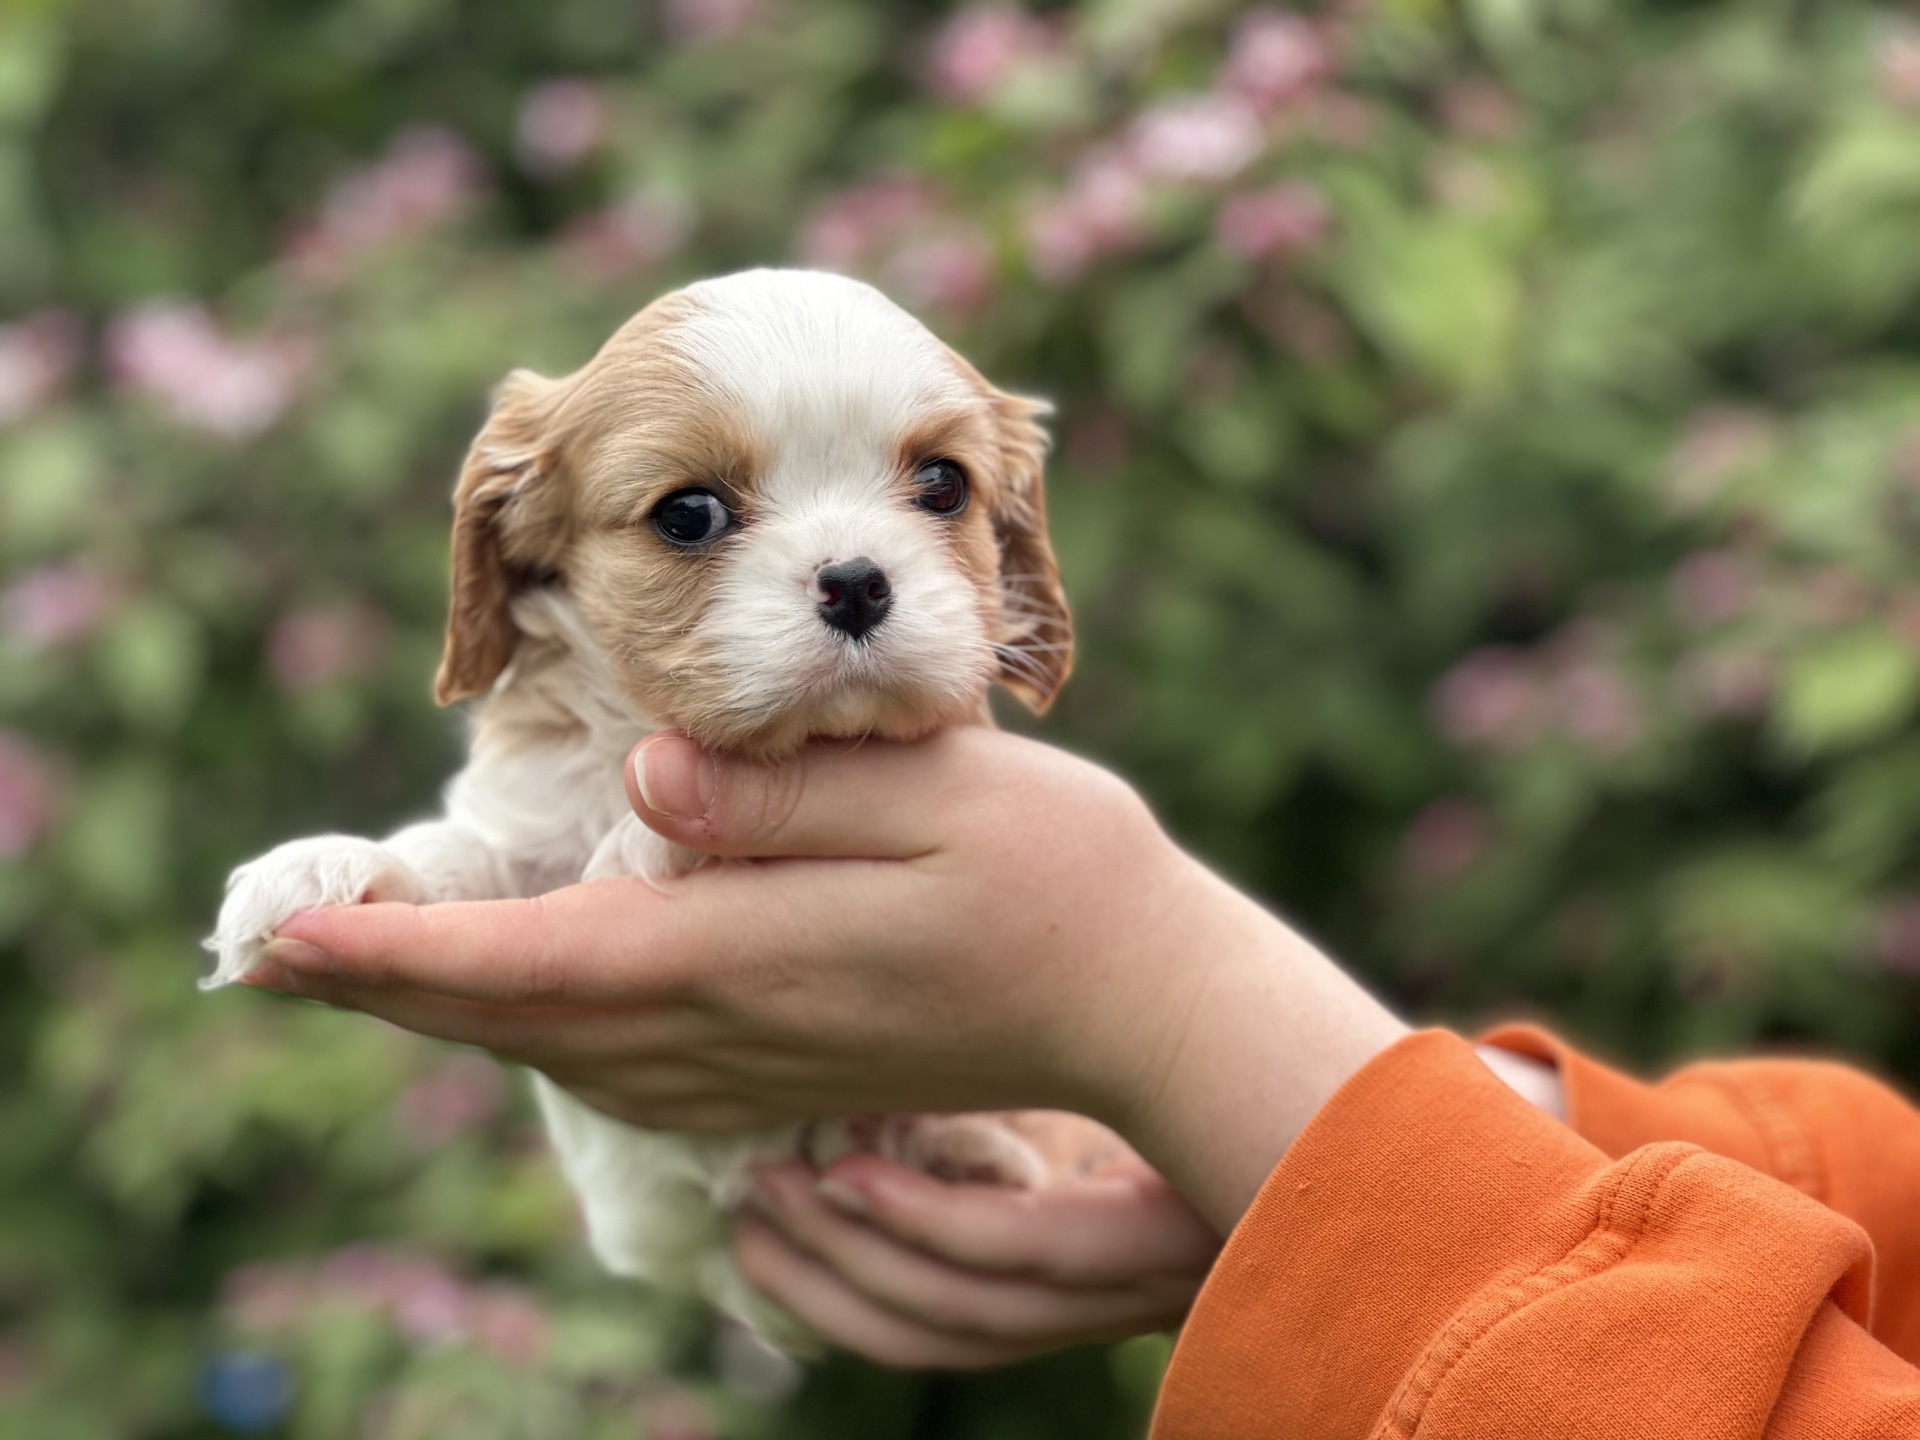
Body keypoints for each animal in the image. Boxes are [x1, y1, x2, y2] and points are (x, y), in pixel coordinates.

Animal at [202, 270, 1121, 1351]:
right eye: (690, 514)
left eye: (943, 486)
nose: (857, 580)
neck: (647, 729)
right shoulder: (525, 833)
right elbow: (455, 851)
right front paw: (316, 866)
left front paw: (643, 833)